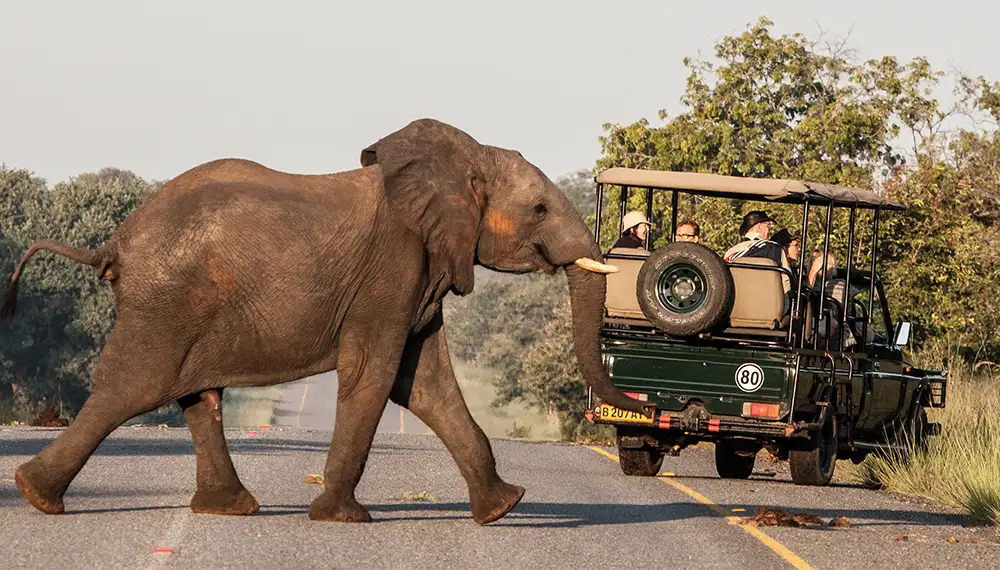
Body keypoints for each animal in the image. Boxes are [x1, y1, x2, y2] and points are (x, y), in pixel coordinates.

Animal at [1, 117, 648, 520]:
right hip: (166, 301)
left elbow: (426, 384)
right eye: (538, 209)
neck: (460, 162)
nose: (650, 406)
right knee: (134, 386)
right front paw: (342, 519)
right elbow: (375, 374)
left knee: (196, 395)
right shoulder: (392, 268)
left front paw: (504, 508)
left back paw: (230, 509)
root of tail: (116, 240)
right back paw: (36, 497)